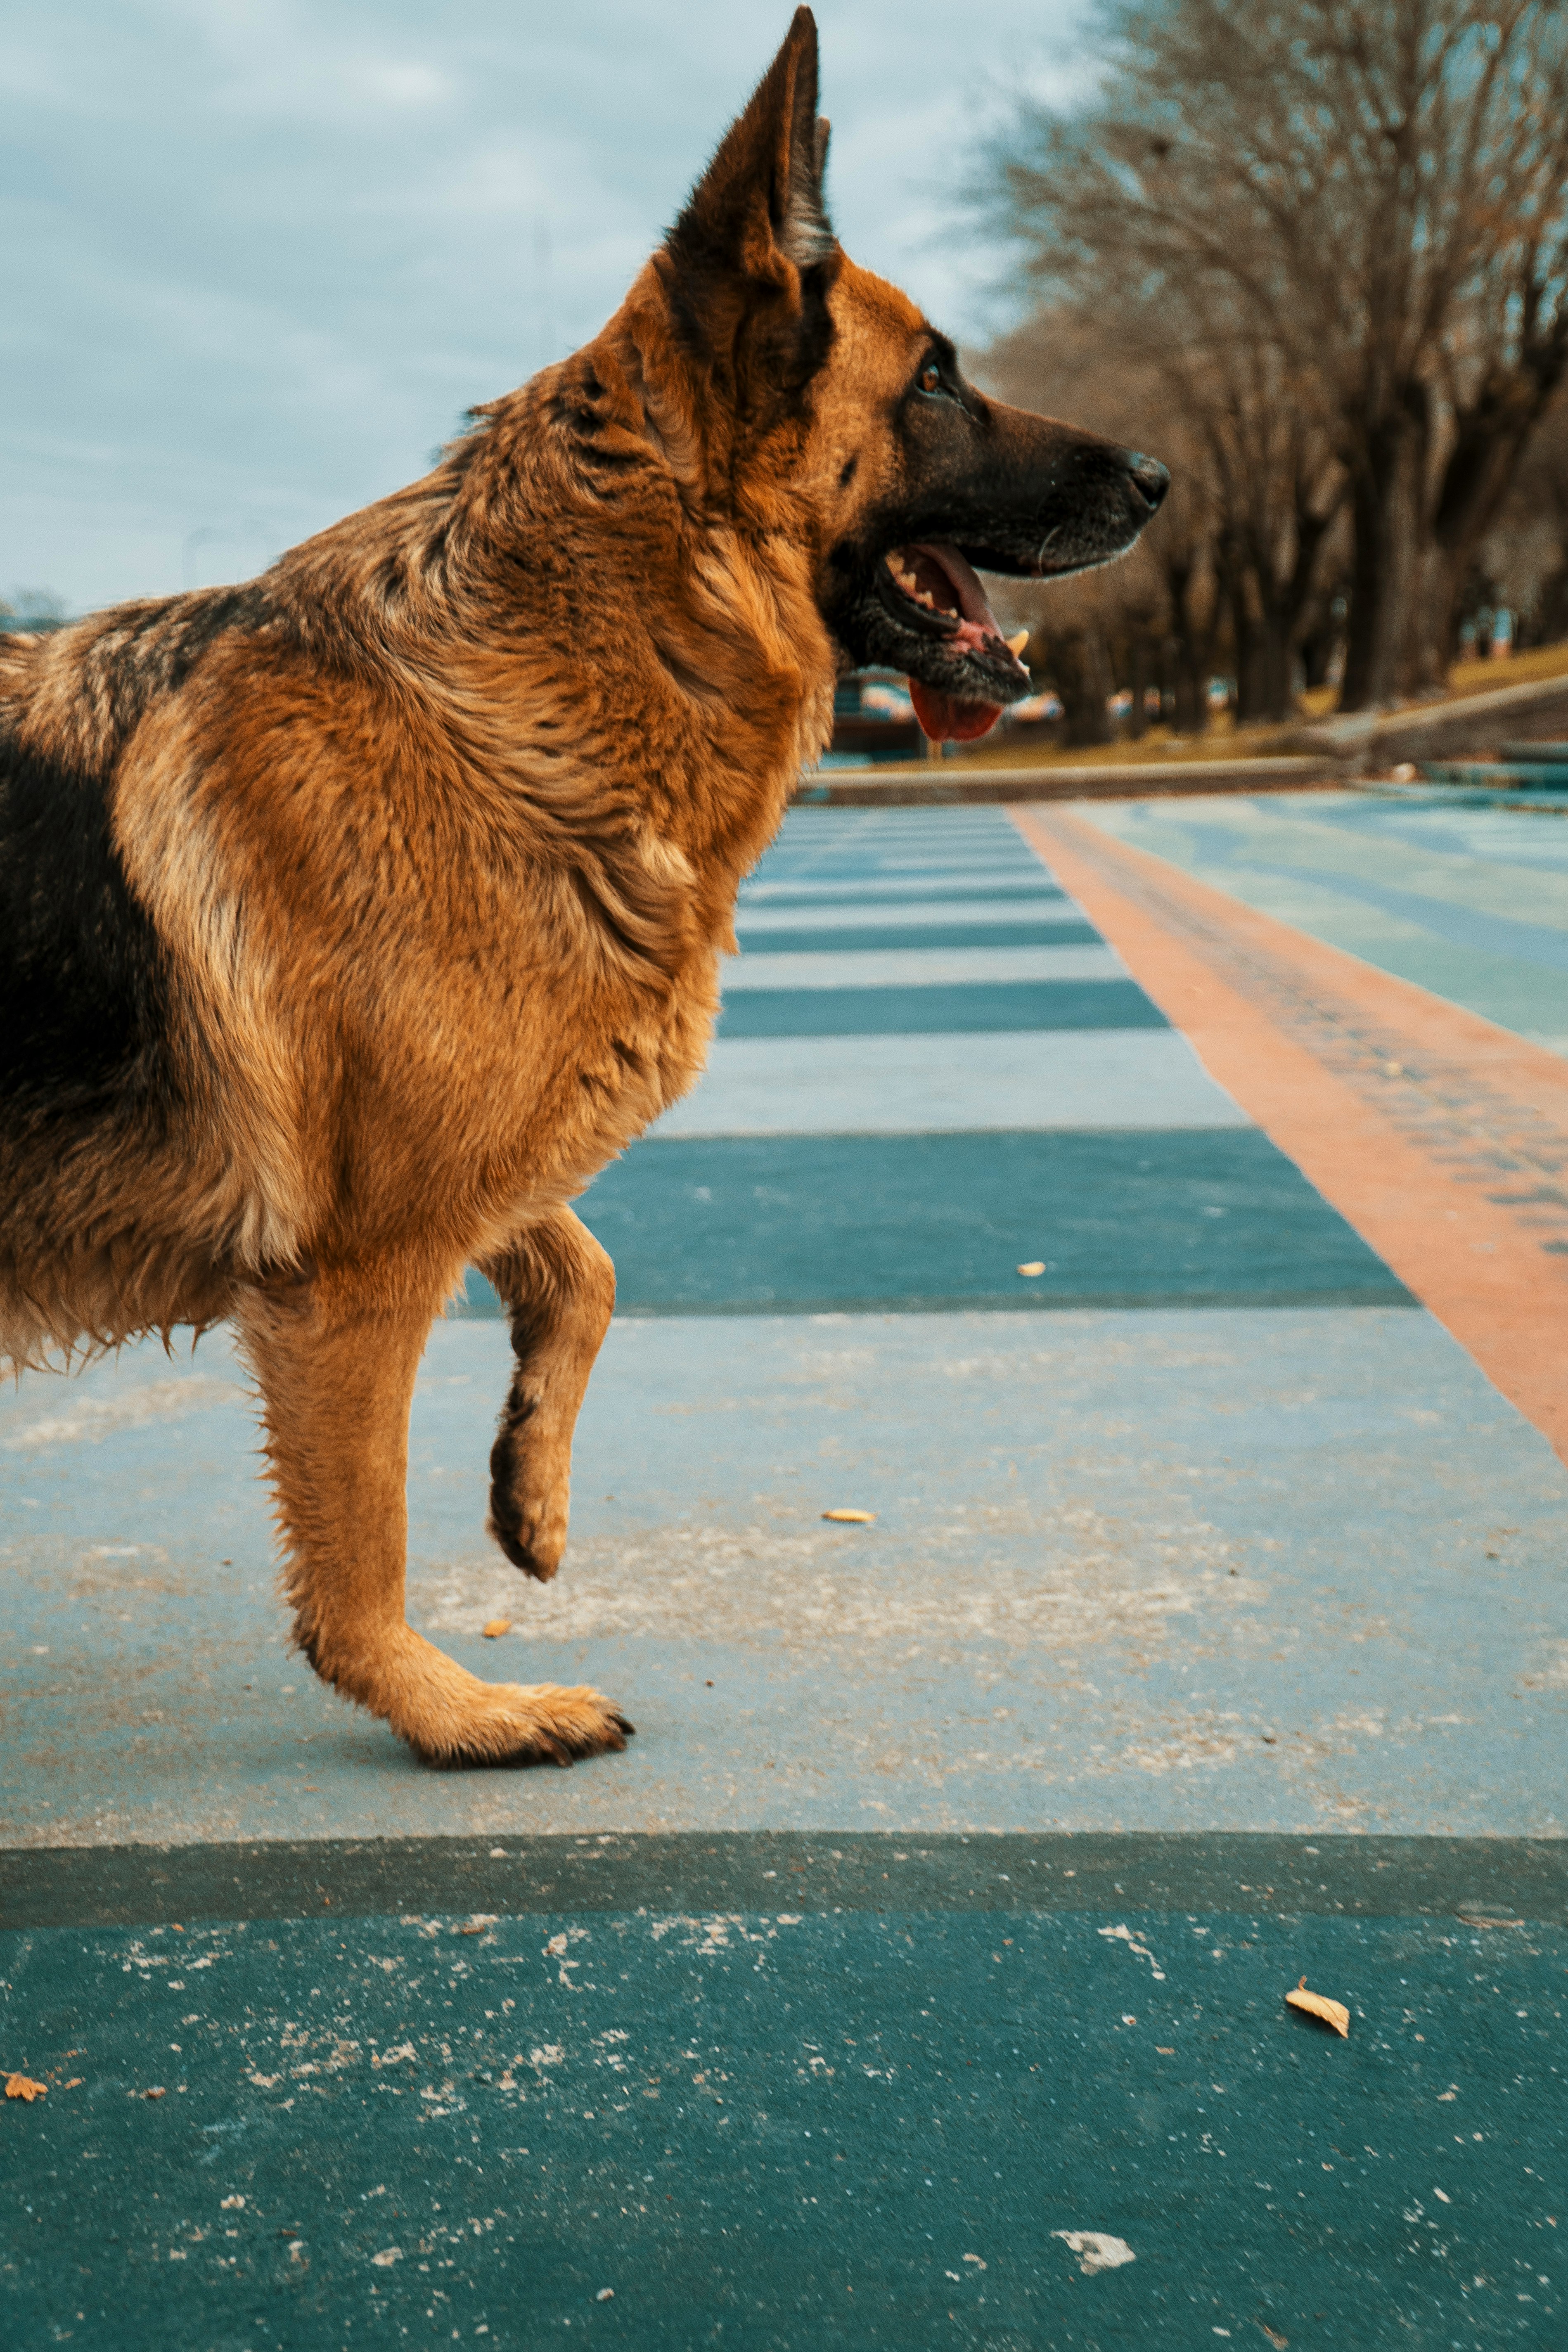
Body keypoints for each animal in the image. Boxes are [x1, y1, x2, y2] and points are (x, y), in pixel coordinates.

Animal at [3, 5, 1166, 1769]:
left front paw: (531, 1484)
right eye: (940, 379)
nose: (1163, 474)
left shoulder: (454, 1166)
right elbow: (359, 1554)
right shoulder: (353, 1269)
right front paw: (453, 1711)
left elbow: (584, 1259)